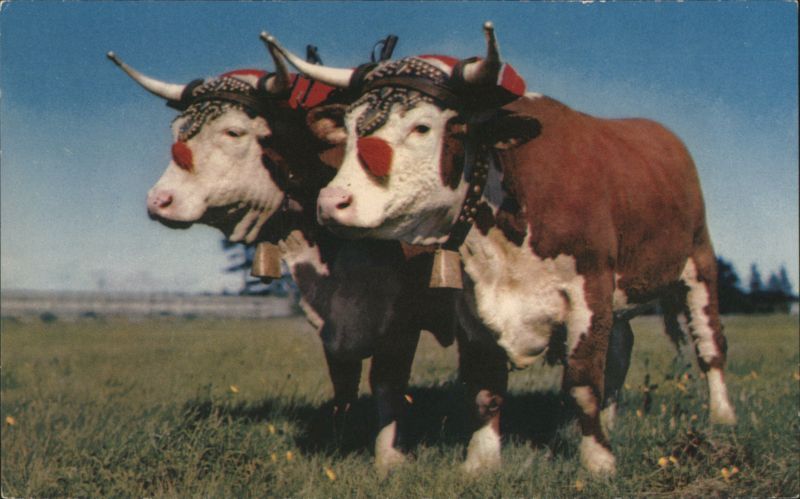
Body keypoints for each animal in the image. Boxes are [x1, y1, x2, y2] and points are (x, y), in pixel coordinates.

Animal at [106, 42, 460, 474]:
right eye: (176, 132)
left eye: (234, 131)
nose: (159, 201)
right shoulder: (330, 319)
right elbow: (343, 380)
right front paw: (340, 441)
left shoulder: (402, 317)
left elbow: (387, 381)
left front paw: (389, 459)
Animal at [264, 22, 737, 475]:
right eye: (347, 132)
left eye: (422, 126)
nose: (332, 202)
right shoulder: (475, 308)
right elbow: (486, 390)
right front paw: (482, 461)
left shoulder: (590, 289)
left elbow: (584, 382)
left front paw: (599, 461)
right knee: (622, 349)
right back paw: (612, 419)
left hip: (698, 262)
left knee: (709, 344)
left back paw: (723, 416)